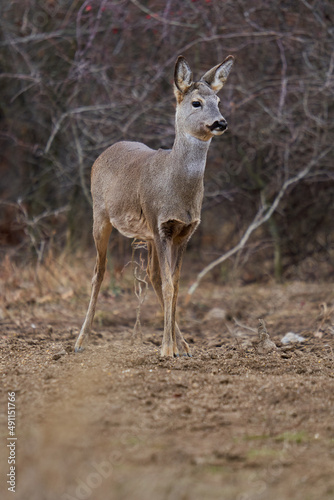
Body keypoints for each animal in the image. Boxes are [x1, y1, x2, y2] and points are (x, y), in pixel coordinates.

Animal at [74, 54, 234, 358]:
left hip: (145, 234)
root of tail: (106, 151)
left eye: (219, 100)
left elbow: (175, 284)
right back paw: (80, 340)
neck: (177, 189)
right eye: (196, 102)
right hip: (100, 215)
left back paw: (182, 344)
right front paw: (166, 349)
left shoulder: (184, 231)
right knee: (98, 271)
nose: (221, 123)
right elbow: (170, 284)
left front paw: (178, 347)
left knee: (151, 275)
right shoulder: (160, 223)